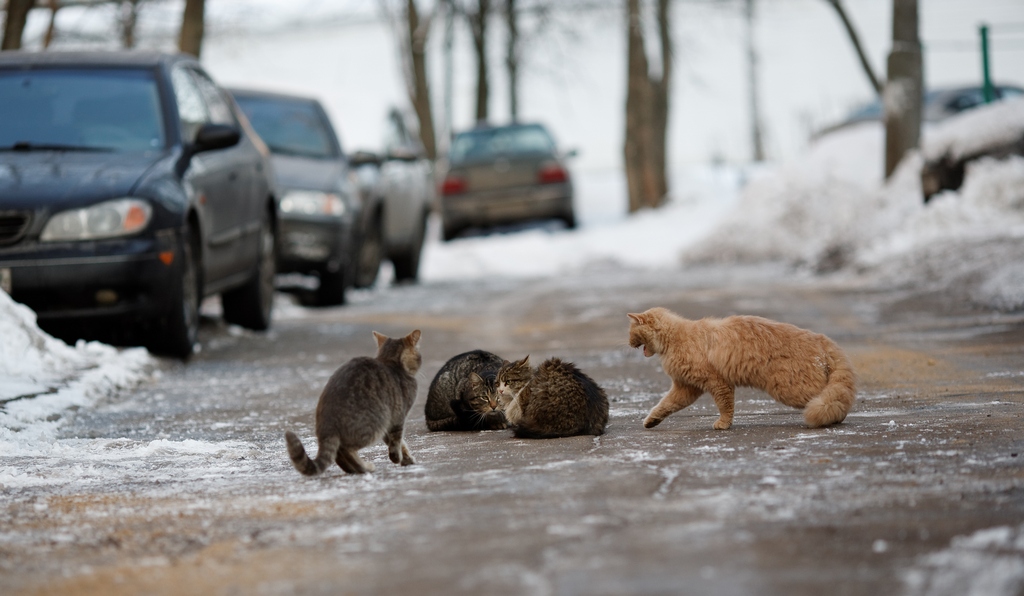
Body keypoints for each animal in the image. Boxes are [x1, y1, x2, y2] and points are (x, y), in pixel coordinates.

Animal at [284, 331, 419, 477]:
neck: (390, 362)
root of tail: (327, 425)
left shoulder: (388, 425)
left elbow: (398, 443)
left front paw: (407, 459)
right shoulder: (397, 417)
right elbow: (396, 441)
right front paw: (398, 458)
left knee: (338, 454)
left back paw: (354, 469)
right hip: (374, 424)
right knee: (345, 450)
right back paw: (364, 467)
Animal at [622, 309, 856, 430]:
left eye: (631, 332)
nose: (628, 343)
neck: (676, 338)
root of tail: (823, 339)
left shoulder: (718, 382)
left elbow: (725, 406)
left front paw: (723, 424)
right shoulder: (686, 387)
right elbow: (665, 405)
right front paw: (651, 421)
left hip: (792, 389)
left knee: (831, 399)